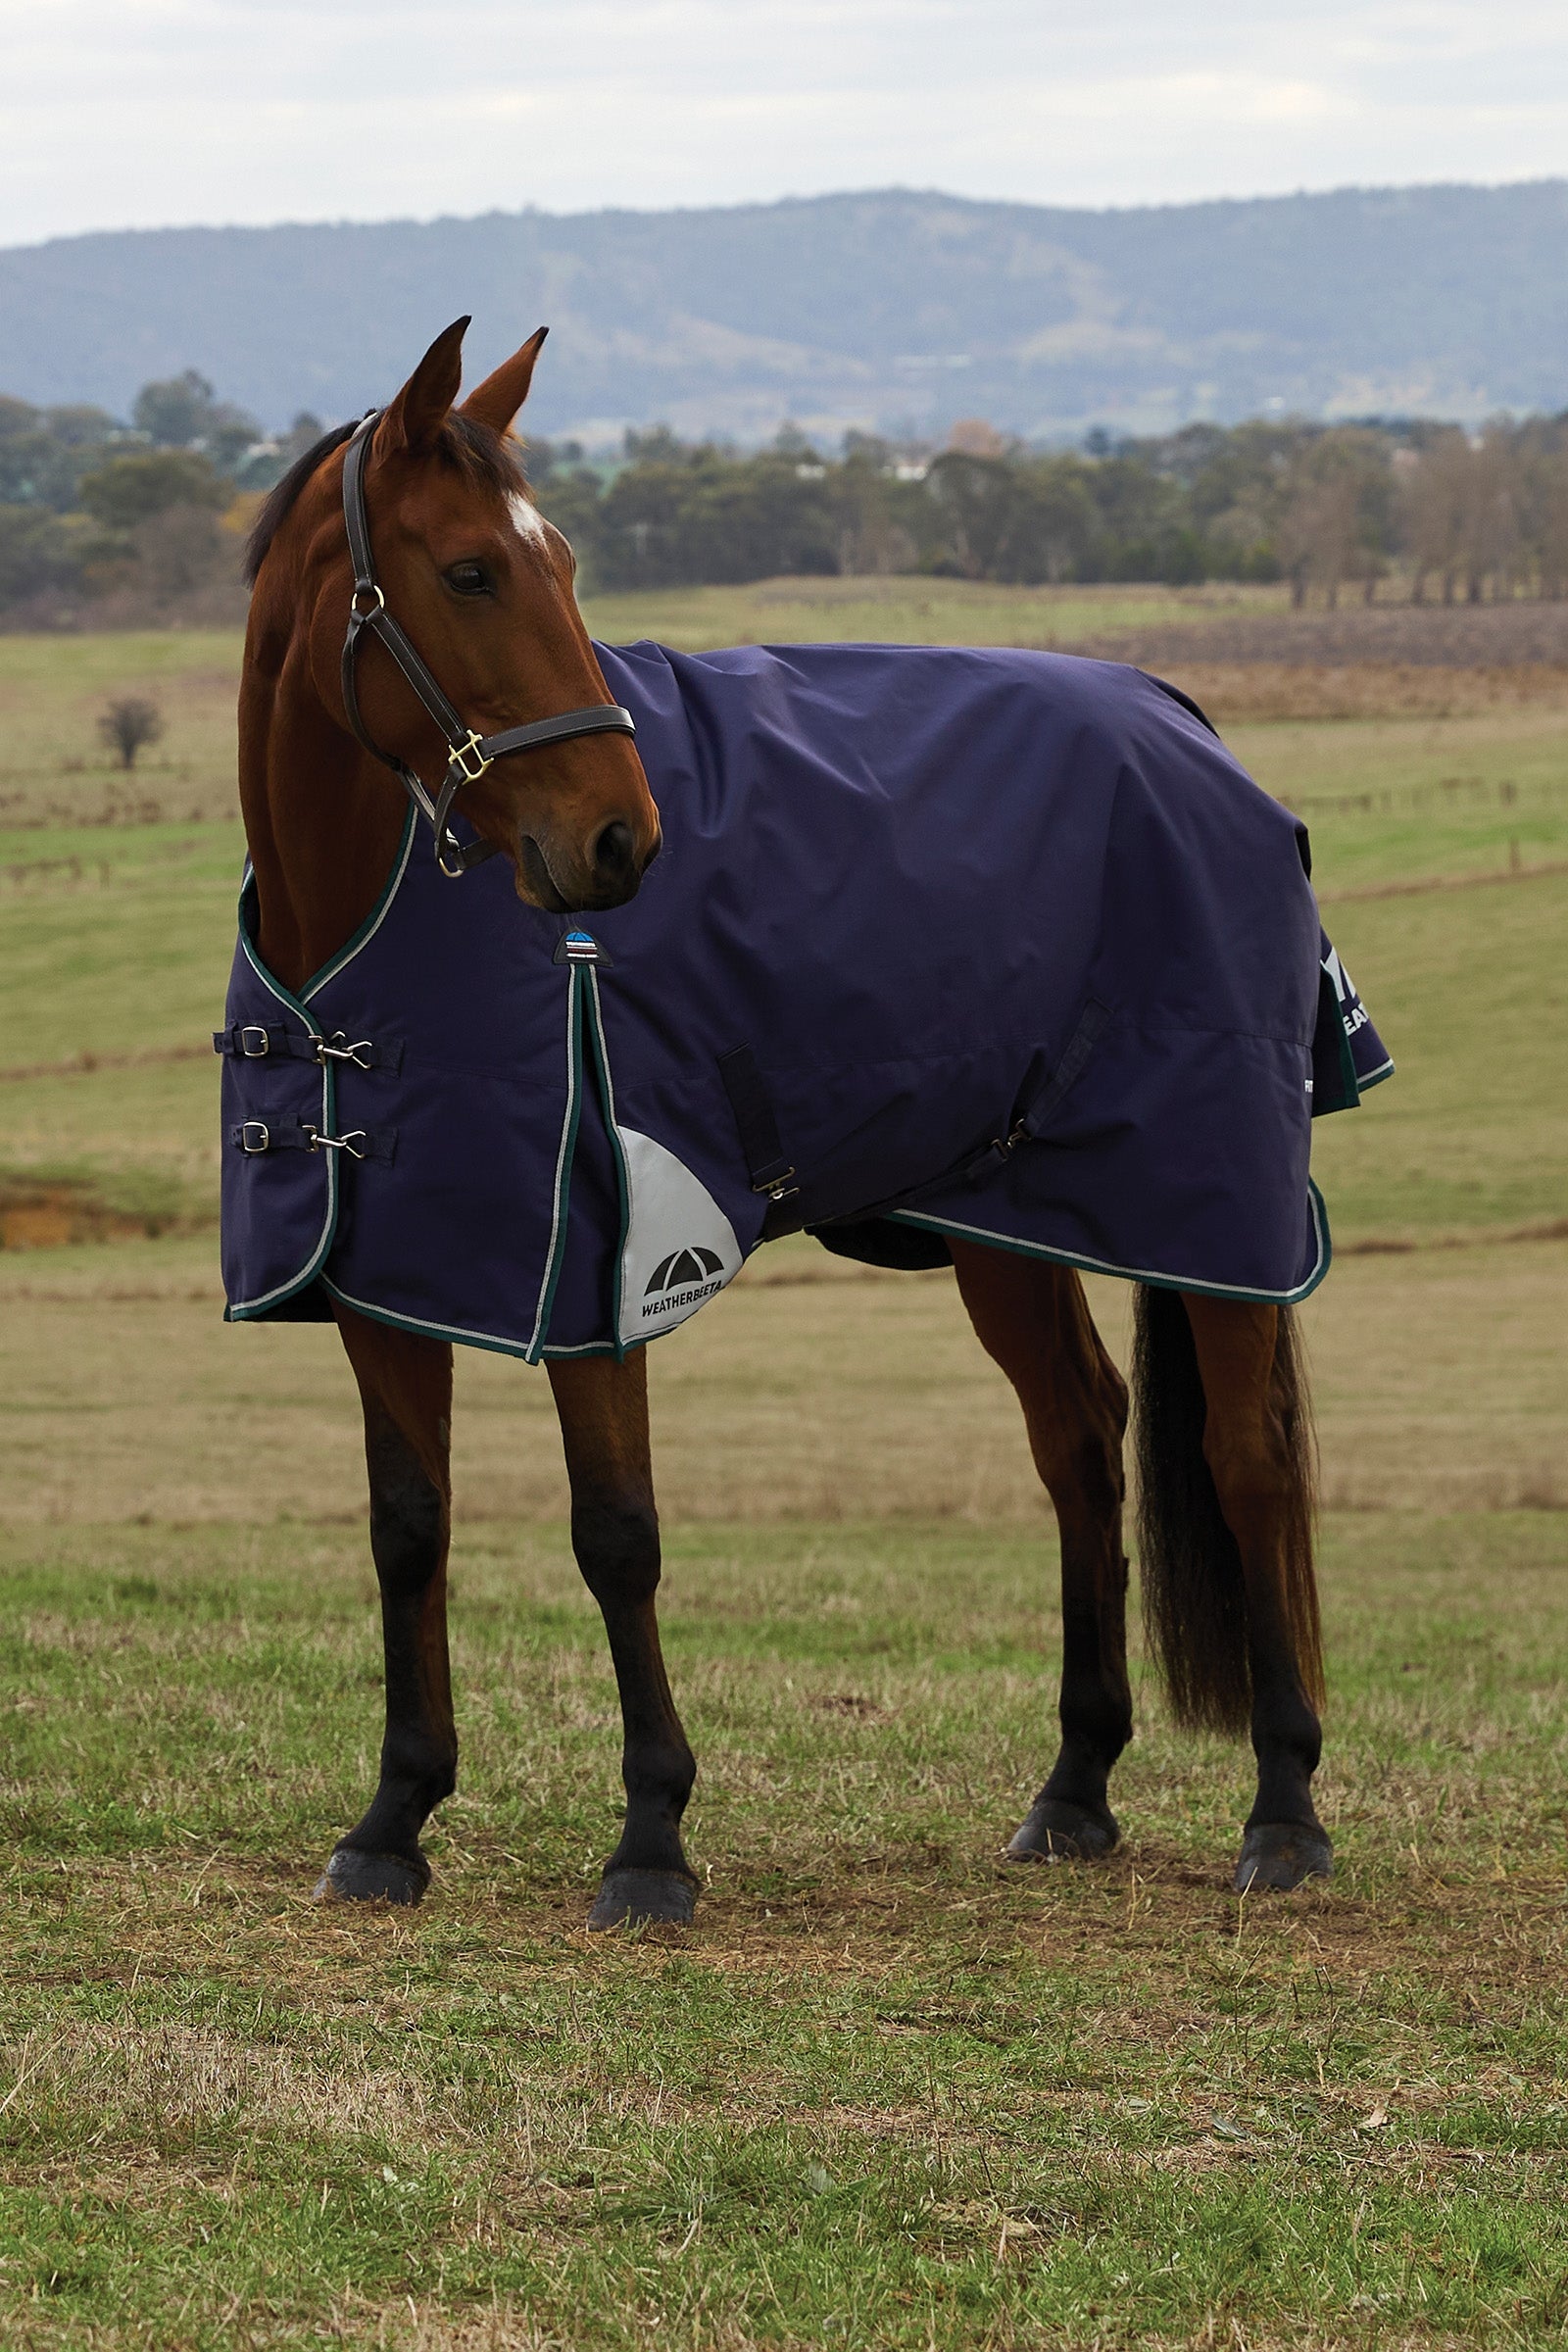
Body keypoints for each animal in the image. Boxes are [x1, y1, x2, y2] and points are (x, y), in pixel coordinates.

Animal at [235, 318, 1333, 1931]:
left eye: (564, 562)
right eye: (472, 571)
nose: (618, 839)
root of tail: (1181, 720)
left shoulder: (602, 1270)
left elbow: (615, 1534)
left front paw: (650, 1840)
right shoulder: (389, 1271)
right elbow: (408, 1526)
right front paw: (394, 1820)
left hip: (1209, 1203)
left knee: (1246, 1460)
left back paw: (1284, 1812)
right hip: (1010, 1219)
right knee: (1081, 1442)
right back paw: (1074, 1788)